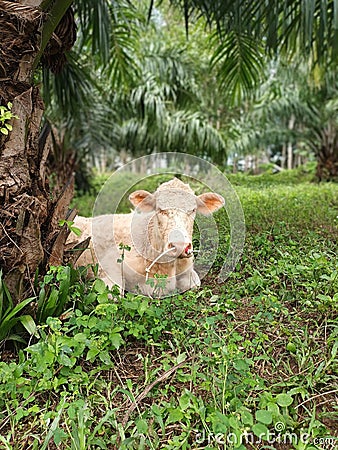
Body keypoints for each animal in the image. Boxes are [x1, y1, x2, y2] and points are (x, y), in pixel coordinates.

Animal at [67, 178, 223, 298]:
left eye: (193, 210)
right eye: (160, 209)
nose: (179, 246)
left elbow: (195, 283)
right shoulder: (108, 265)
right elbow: (113, 294)